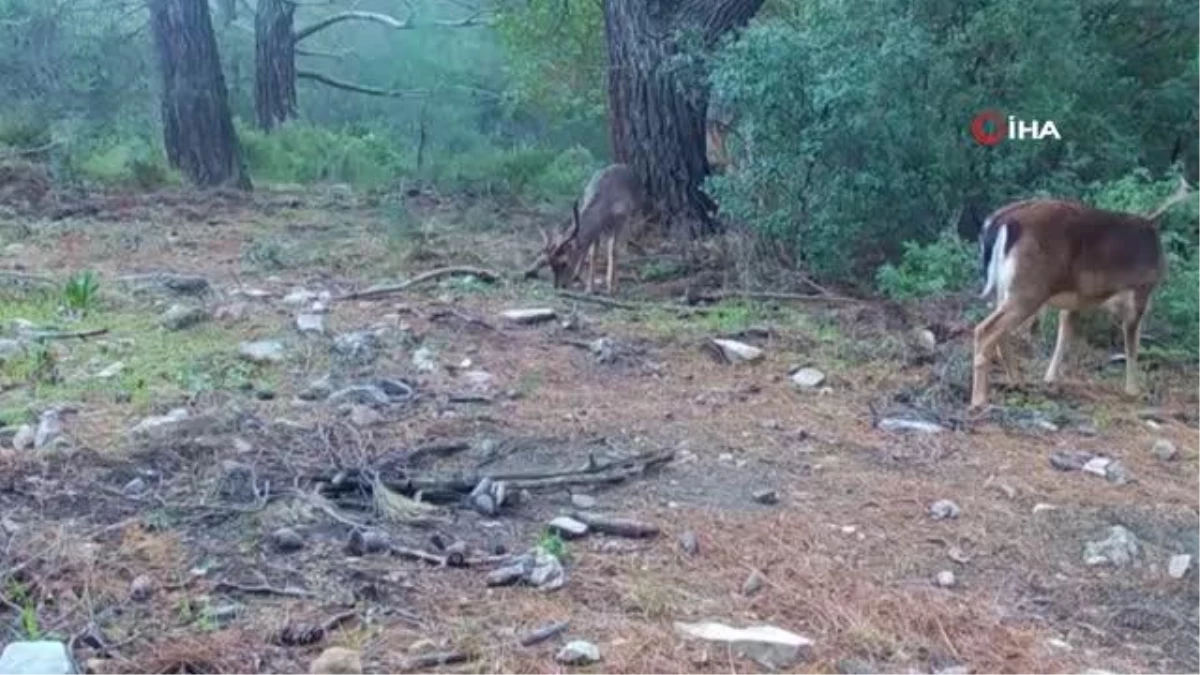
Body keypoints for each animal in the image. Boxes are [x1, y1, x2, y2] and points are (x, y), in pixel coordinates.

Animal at [535, 163, 648, 294]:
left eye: (564, 263)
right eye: (551, 264)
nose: (559, 286)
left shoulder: (621, 219)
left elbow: (613, 251)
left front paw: (613, 287)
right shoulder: (597, 229)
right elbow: (593, 253)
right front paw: (589, 288)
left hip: (635, 212)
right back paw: (578, 275)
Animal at [974, 176, 1190, 408]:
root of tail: (1000, 221)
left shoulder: (1076, 298)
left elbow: (1064, 333)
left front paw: (1050, 378)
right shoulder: (1141, 290)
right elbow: (1132, 344)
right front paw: (1134, 391)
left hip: (1006, 288)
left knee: (1000, 332)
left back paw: (1017, 382)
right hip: (1029, 288)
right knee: (986, 329)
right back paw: (979, 399)